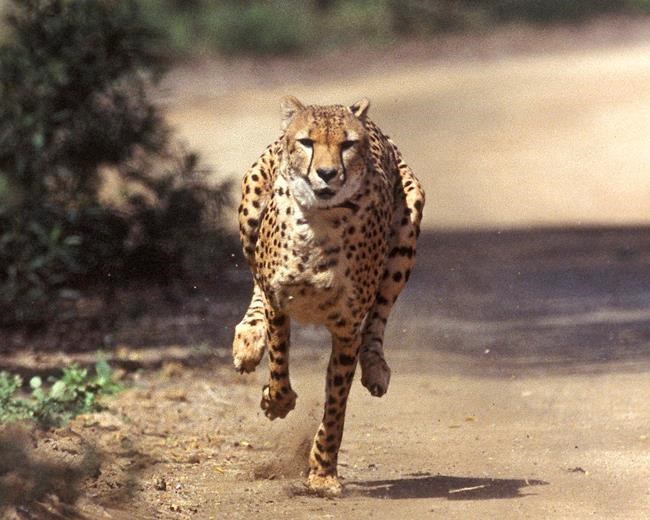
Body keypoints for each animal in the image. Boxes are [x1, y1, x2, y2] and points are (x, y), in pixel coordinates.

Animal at [232, 96, 425, 496]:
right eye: (307, 142)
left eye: (347, 144)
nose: (327, 173)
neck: (320, 223)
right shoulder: (279, 304)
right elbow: (278, 363)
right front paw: (277, 402)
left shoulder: (347, 329)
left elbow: (336, 404)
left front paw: (322, 472)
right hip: (250, 204)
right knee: (255, 276)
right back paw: (248, 339)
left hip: (408, 228)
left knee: (380, 316)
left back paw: (376, 367)